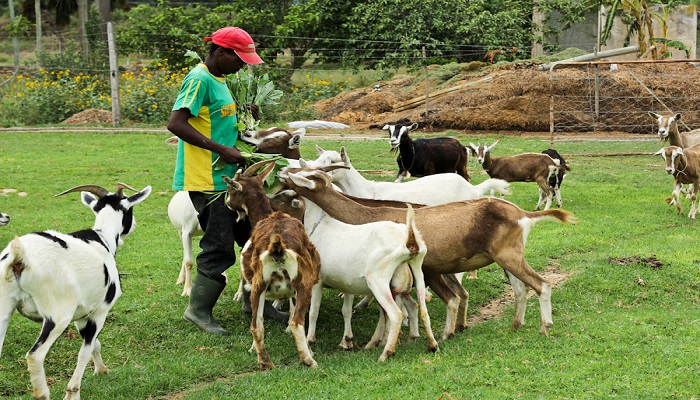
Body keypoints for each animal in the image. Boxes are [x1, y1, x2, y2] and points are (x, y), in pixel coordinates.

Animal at [0, 184, 152, 400]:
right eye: (130, 210)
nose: (133, 225)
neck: (102, 237)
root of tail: (18, 258)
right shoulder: (100, 311)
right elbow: (85, 350)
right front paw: (73, 392)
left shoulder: (82, 313)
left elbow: (94, 343)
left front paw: (101, 370)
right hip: (57, 315)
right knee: (35, 355)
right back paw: (42, 393)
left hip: (5, 304)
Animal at [223, 159, 322, 368]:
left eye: (230, 190)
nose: (226, 203)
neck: (266, 216)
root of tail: (277, 246)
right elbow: (292, 312)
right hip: (303, 283)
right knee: (296, 322)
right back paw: (308, 360)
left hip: (258, 285)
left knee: (256, 325)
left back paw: (264, 361)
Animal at [276, 167, 576, 340]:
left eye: (303, 178)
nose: (281, 173)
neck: (369, 214)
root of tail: (522, 214)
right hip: (508, 258)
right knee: (521, 289)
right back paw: (515, 325)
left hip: (509, 257)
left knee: (542, 285)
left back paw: (545, 326)